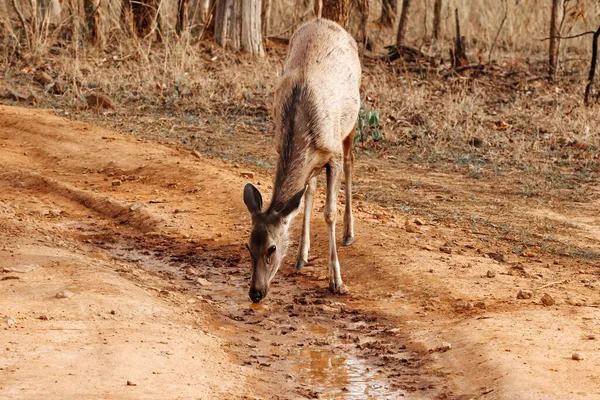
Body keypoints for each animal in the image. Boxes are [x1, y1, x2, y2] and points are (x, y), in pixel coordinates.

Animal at [240, 17, 360, 302]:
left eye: (272, 248)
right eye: (248, 246)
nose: (255, 292)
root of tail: (326, 21)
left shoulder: (333, 152)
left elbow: (329, 212)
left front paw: (336, 280)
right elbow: (304, 197)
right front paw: (301, 256)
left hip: (352, 121)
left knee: (351, 160)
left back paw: (349, 233)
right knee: (310, 189)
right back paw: (302, 255)